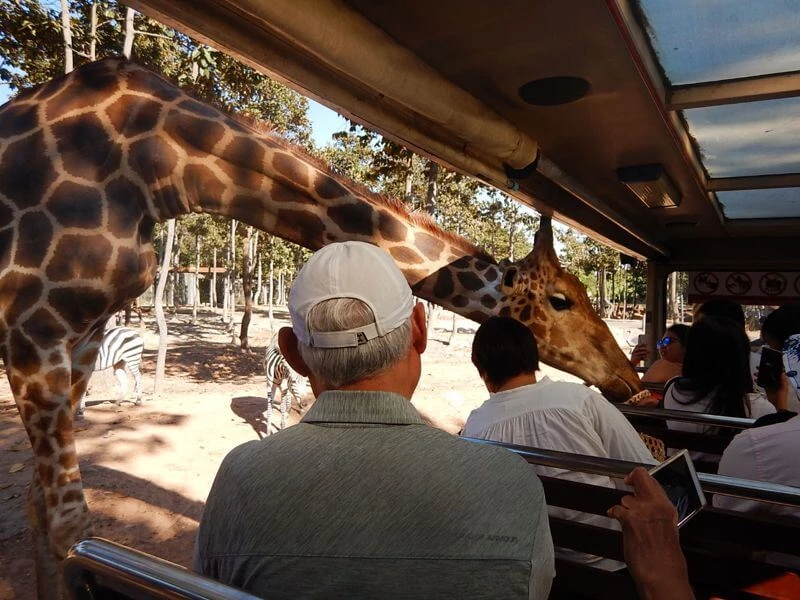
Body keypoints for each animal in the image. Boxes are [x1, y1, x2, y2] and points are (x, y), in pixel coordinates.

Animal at [0, 57, 640, 596]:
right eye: (561, 299)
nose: (628, 378)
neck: (156, 169)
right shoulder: (32, 327)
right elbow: (67, 523)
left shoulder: (84, 332)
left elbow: (40, 507)